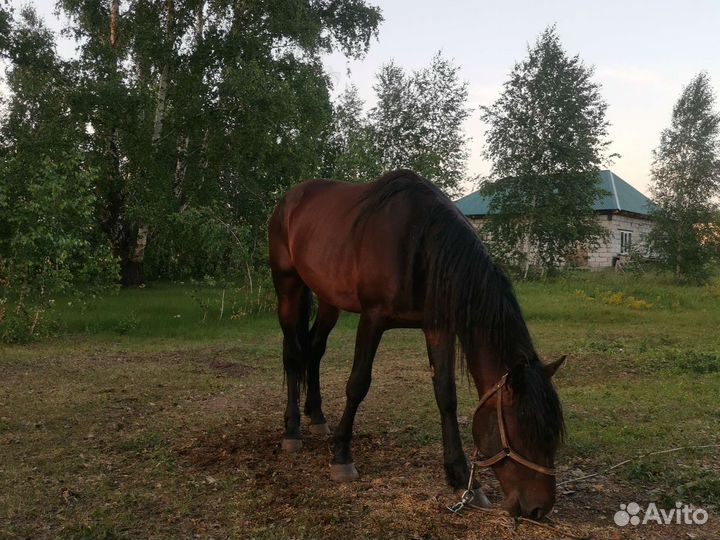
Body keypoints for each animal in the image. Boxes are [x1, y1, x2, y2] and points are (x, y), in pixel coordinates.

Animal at [268, 170, 565, 519]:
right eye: (521, 429)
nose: (539, 509)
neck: (420, 245)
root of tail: (290, 198)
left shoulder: (438, 328)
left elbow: (446, 396)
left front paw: (462, 479)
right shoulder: (373, 319)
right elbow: (357, 384)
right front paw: (341, 457)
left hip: (328, 298)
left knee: (314, 350)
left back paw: (316, 417)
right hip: (288, 287)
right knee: (293, 355)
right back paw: (292, 431)